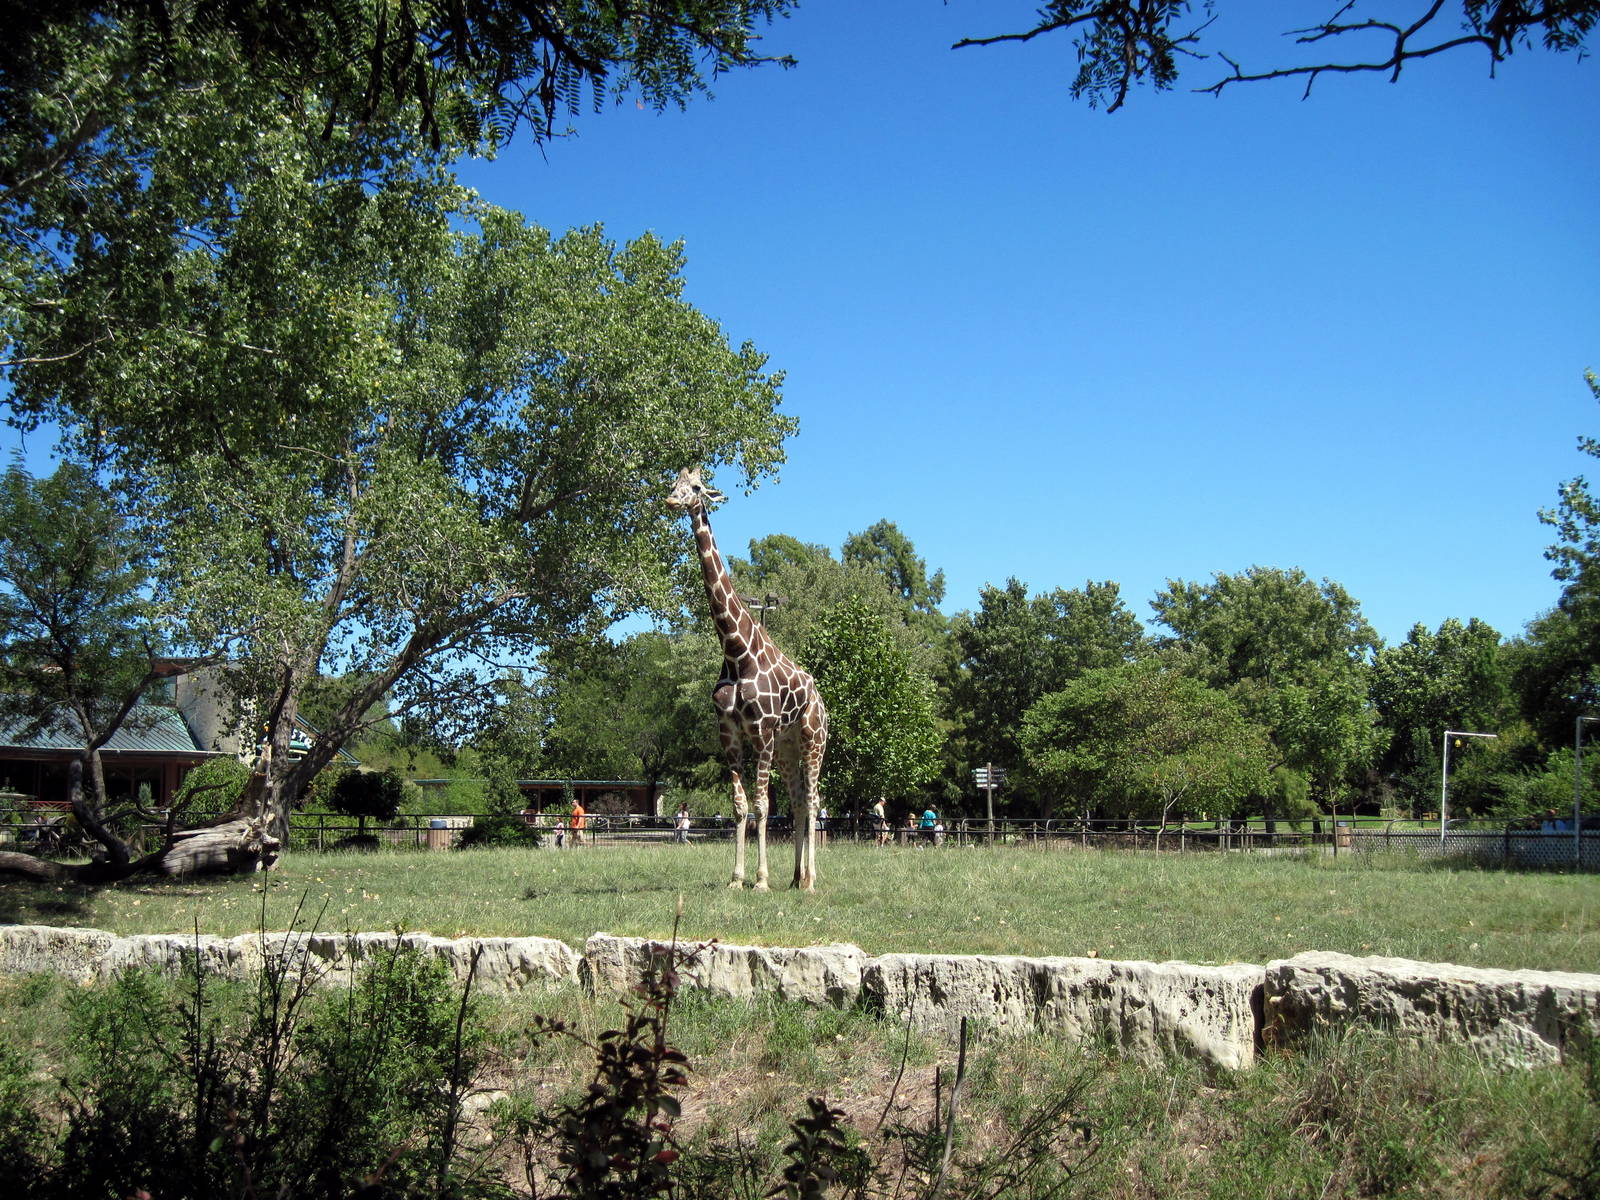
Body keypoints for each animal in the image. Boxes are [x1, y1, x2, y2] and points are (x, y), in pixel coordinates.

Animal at [666, 467, 828, 891]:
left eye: (697, 488)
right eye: (673, 483)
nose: (672, 500)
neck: (736, 652)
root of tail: (822, 702)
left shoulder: (762, 730)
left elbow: (762, 805)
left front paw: (761, 879)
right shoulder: (729, 732)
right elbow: (740, 806)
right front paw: (737, 878)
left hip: (812, 738)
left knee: (813, 799)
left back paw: (811, 881)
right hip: (787, 746)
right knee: (798, 799)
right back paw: (796, 878)